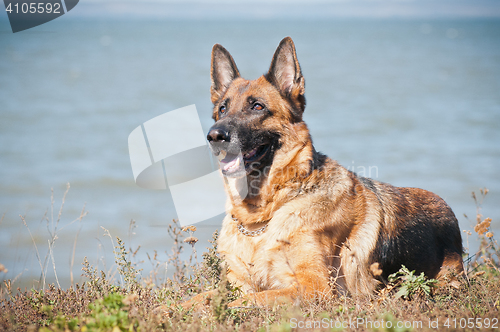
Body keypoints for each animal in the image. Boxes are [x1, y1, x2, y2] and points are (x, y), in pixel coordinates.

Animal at [182, 37, 462, 308]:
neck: (264, 217)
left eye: (258, 107)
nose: (214, 136)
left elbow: (244, 300)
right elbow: (197, 300)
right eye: (222, 109)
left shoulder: (314, 288)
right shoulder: (235, 283)